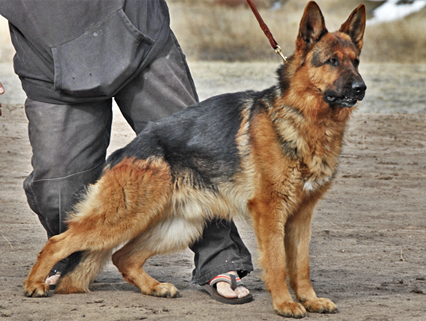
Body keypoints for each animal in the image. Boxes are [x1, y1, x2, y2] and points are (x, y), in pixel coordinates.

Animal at [23, 1, 366, 318]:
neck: (306, 118)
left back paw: (154, 288)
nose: (360, 88)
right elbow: (279, 263)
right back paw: (35, 284)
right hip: (123, 219)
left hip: (179, 226)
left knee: (123, 257)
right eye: (332, 61)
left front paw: (309, 300)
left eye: (356, 62)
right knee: (58, 242)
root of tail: (124, 152)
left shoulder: (301, 217)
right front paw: (284, 303)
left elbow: (302, 265)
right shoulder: (270, 212)